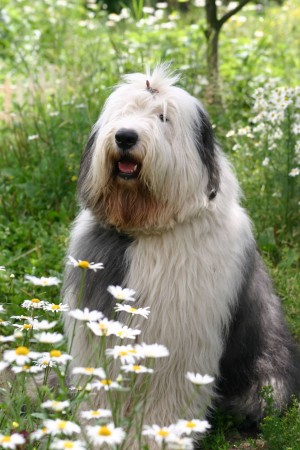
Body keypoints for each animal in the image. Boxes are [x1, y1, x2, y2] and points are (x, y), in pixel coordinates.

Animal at [62, 65, 298, 444]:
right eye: (123, 113)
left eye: (163, 117)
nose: (125, 137)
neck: (148, 227)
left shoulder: (175, 334)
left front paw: (154, 436)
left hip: (266, 375)